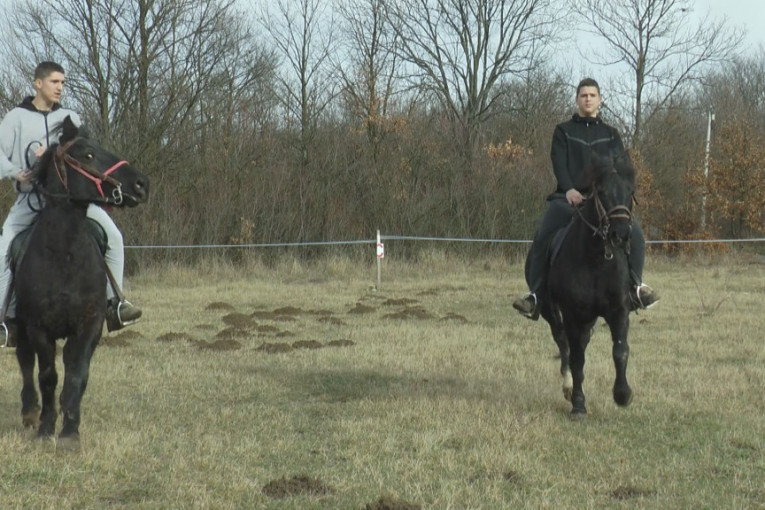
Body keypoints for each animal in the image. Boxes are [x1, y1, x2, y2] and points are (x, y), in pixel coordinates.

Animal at [534, 151, 636, 418]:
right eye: (601, 192)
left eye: (630, 191)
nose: (621, 235)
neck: (596, 260)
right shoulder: (572, 314)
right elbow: (576, 358)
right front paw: (578, 404)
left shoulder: (619, 310)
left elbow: (620, 350)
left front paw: (622, 394)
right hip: (554, 314)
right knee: (565, 345)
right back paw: (568, 387)